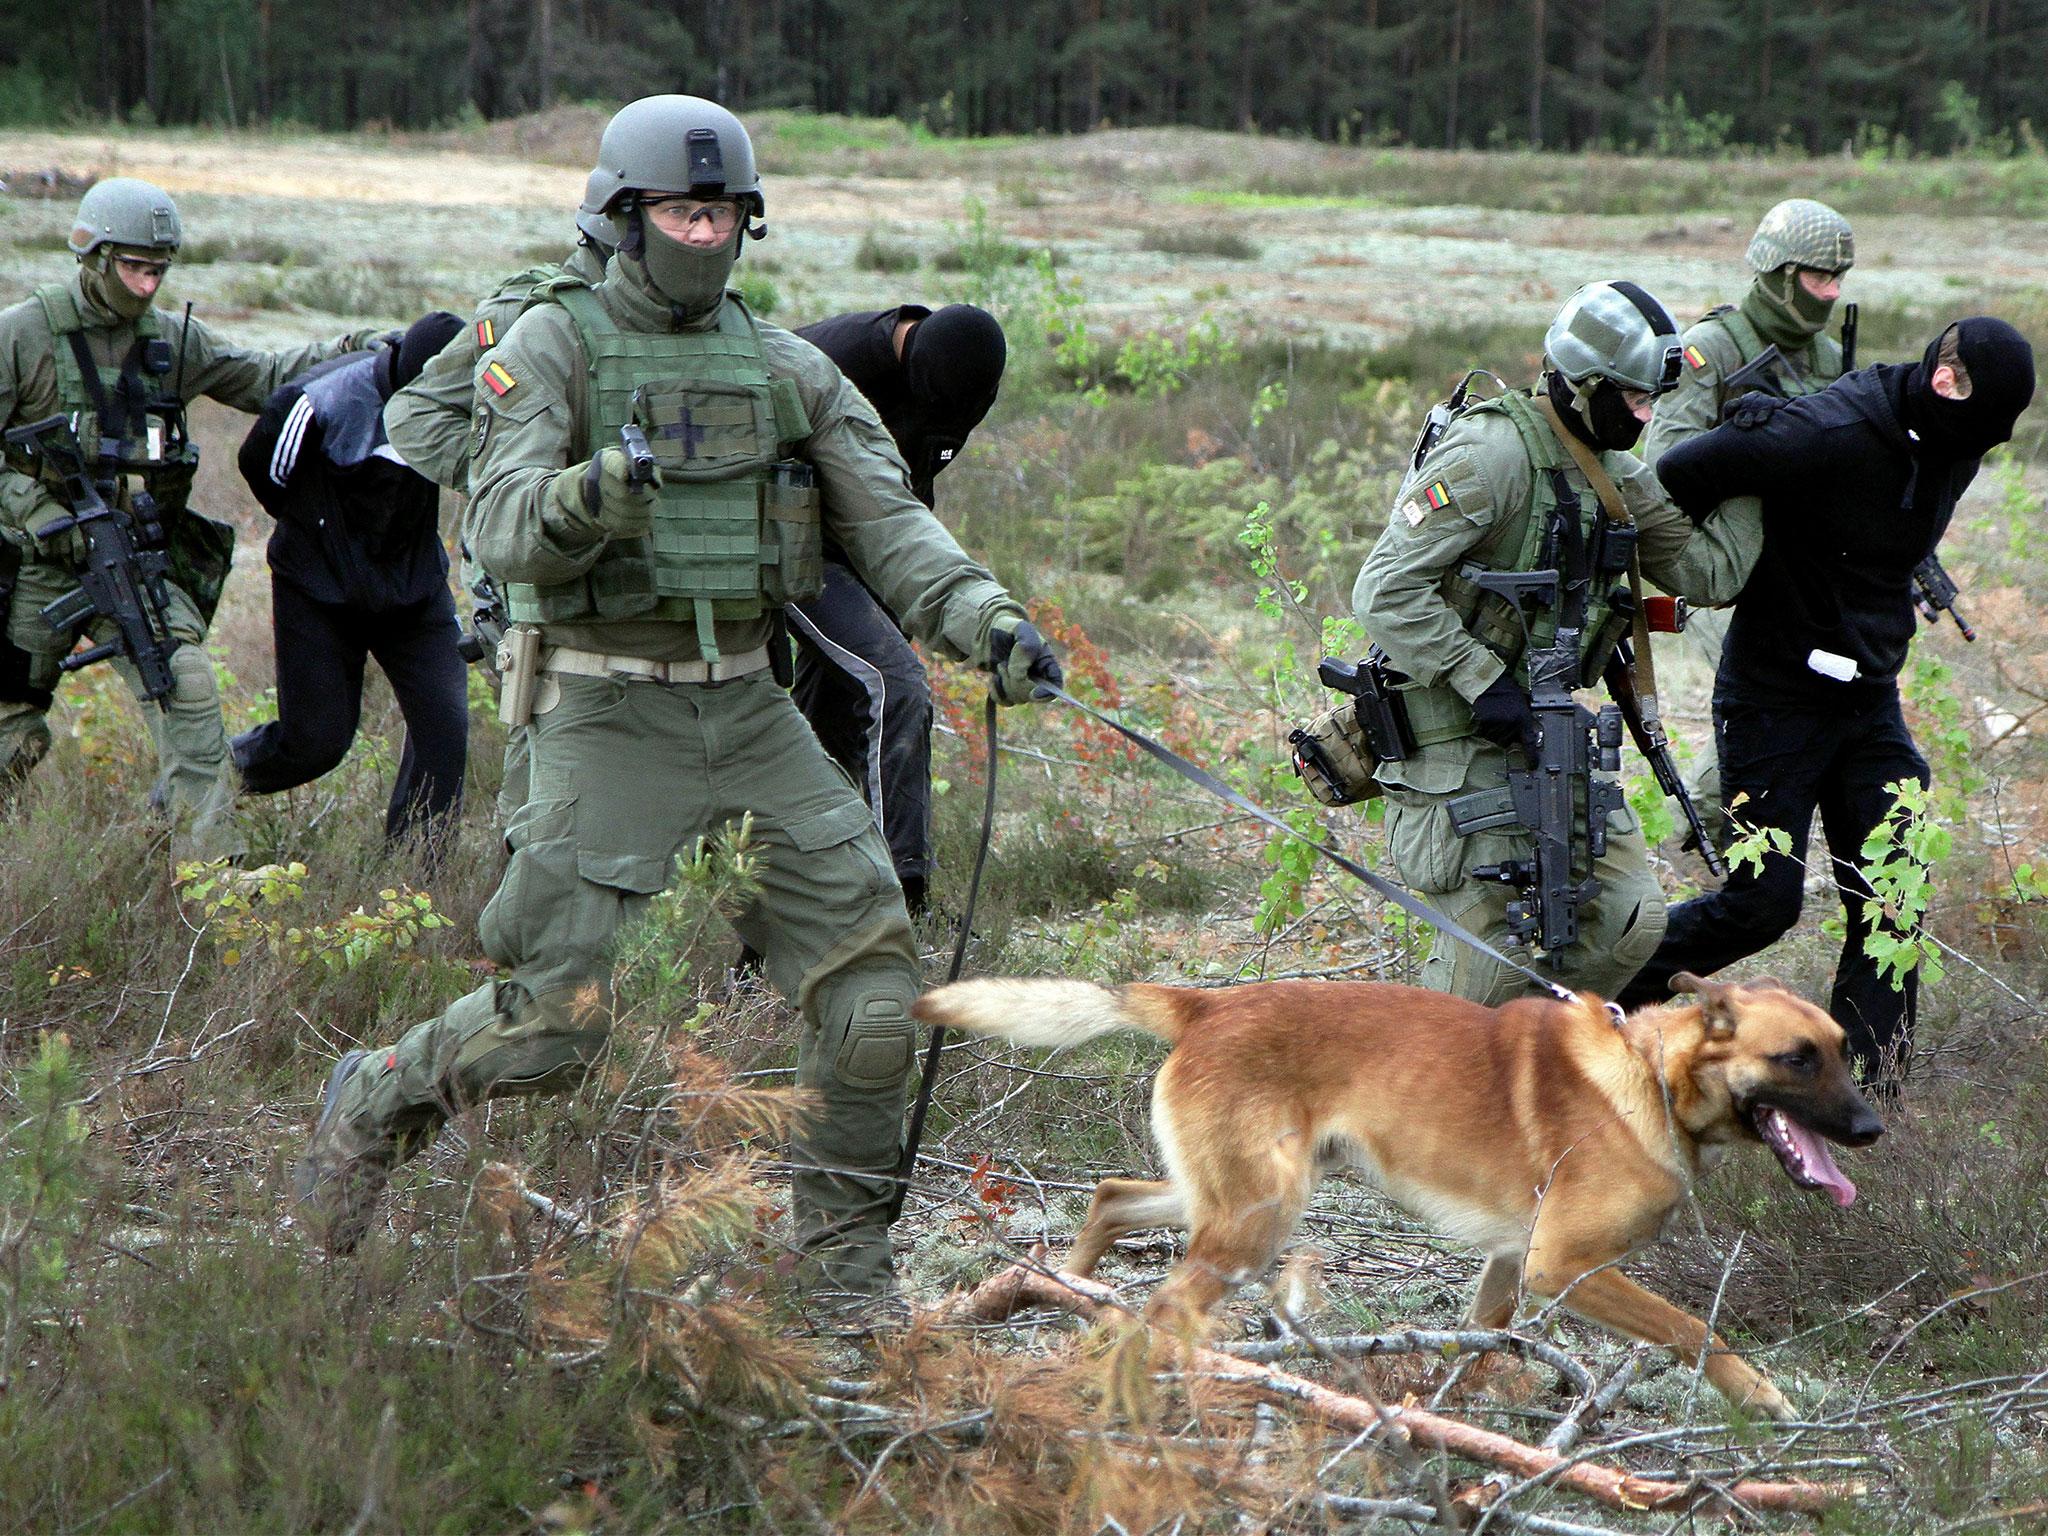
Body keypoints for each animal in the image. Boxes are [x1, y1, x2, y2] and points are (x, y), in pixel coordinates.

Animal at [917, 974, 1884, 1417]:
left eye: (1843, 1048)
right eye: (1798, 1058)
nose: (1873, 1129)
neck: (1648, 1078)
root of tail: (1204, 1004)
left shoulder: (1509, 1268)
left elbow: (1473, 1349)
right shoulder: (1563, 1267)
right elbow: (1694, 1330)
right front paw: (1762, 1399)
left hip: (1229, 1206)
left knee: (1111, 1199)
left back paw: (1065, 1297)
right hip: (1255, 1224)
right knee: (1158, 1314)